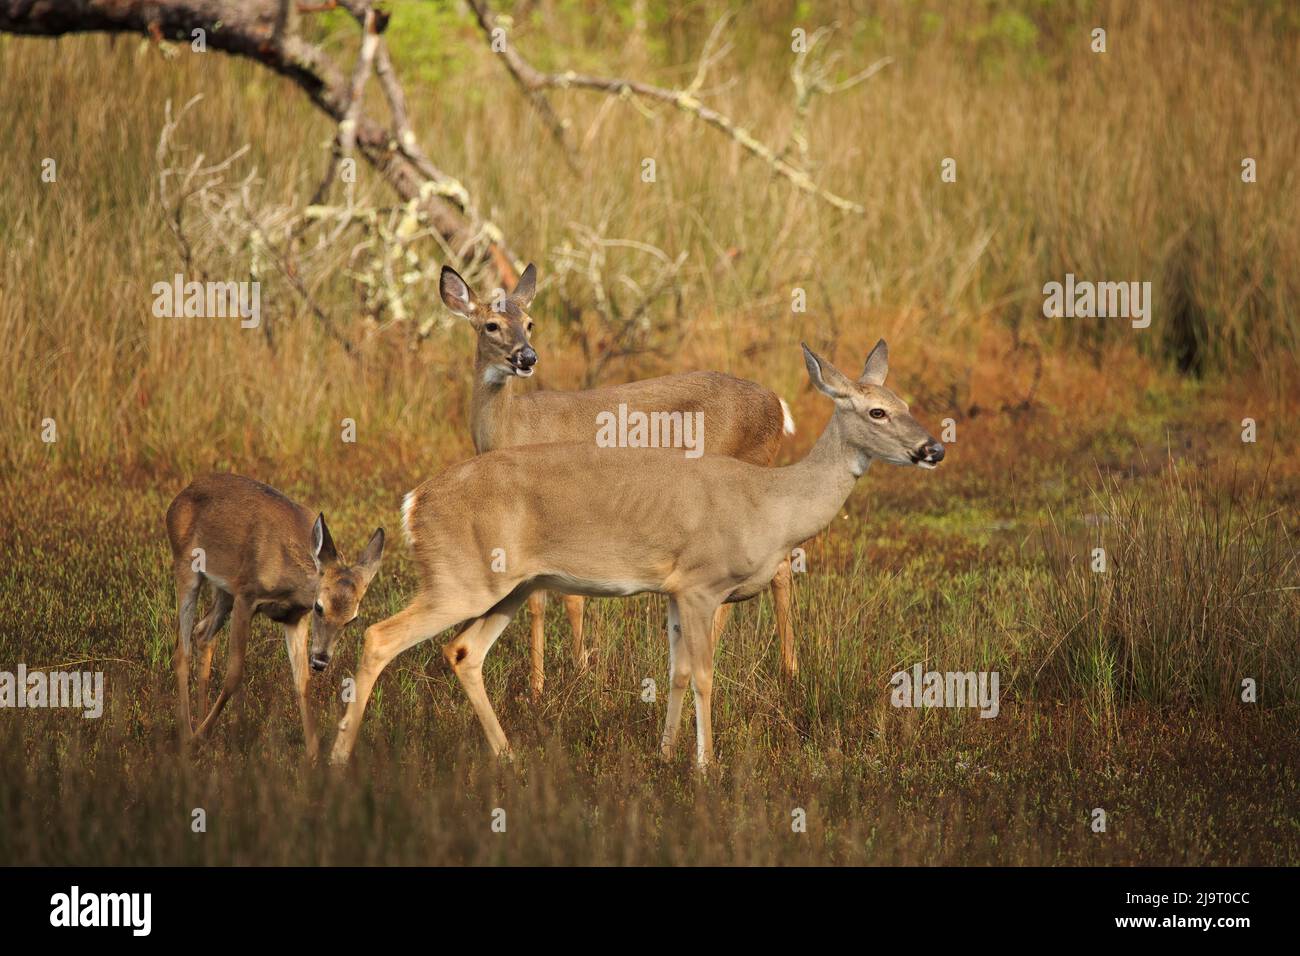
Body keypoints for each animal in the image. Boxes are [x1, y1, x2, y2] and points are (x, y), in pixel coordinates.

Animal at [166, 476, 384, 759]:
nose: (321, 660)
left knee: (203, 633)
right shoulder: (246, 595)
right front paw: (197, 738)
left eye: (352, 619)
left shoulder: (294, 618)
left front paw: (313, 755)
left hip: (224, 590)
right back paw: (187, 735)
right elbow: (234, 673)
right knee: (181, 650)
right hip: (186, 567)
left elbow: (302, 681)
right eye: (319, 607)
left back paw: (201, 728)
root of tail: (178, 498)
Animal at [330, 340, 946, 764]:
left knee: (462, 652)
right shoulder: (700, 583)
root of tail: (414, 502)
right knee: (380, 636)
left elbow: (675, 672)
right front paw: (706, 766)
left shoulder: (672, 590)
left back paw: (508, 756)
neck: (773, 504)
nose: (933, 448)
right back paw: (337, 758)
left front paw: (666, 755)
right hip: (460, 578)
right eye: (876, 412)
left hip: (509, 587)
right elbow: (703, 675)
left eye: (904, 401)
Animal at [441, 261, 795, 697]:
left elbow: (555, 598)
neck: (513, 429)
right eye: (491, 325)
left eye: (529, 322)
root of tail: (777, 405)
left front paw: (552, 682)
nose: (527, 357)